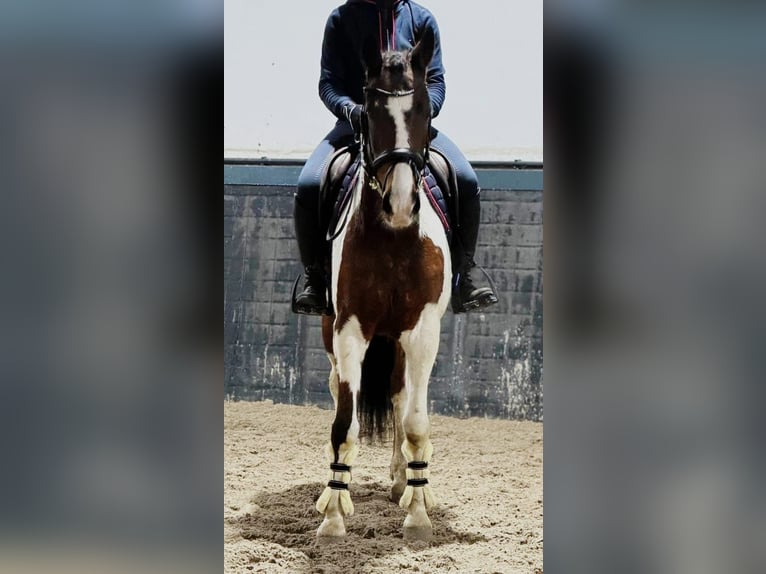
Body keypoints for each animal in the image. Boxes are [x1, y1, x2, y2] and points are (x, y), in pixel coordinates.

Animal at [314, 28, 450, 542]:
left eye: (425, 109)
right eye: (369, 109)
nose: (401, 202)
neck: (394, 237)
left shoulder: (423, 332)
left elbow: (414, 422)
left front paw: (418, 513)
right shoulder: (350, 328)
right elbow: (344, 424)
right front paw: (334, 514)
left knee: (399, 397)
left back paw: (405, 484)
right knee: (341, 392)